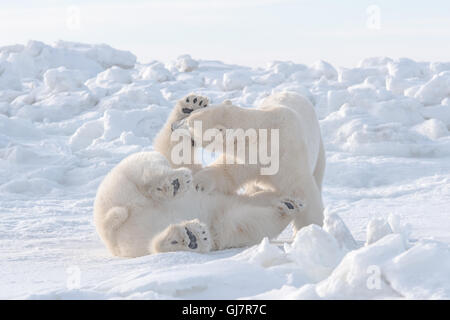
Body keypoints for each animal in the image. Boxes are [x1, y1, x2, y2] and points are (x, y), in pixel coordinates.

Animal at [93, 150, 304, 258]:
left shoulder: (223, 218)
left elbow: (244, 223)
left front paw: (290, 206)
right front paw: (289, 204)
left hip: (132, 236)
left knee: (151, 244)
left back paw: (188, 236)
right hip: (120, 180)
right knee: (146, 163)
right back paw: (176, 183)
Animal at [180, 92, 326, 232]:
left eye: (190, 124)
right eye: (190, 116)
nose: (177, 125)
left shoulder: (287, 156)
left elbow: (303, 192)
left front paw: (310, 229)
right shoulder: (247, 158)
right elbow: (227, 172)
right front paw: (198, 182)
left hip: (319, 150)